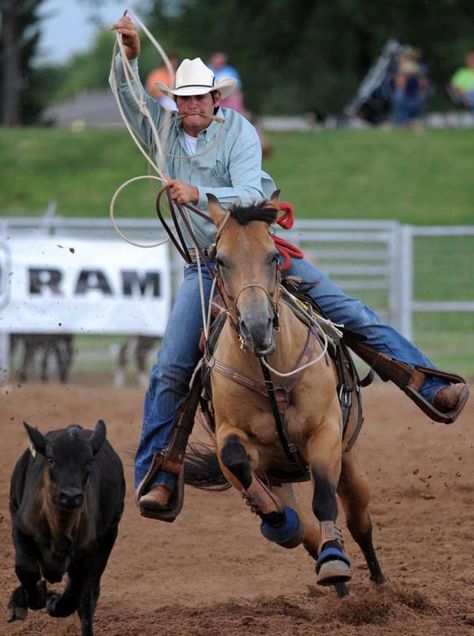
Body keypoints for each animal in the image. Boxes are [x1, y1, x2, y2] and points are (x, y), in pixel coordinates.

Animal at [183, 195, 386, 596]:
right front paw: (280, 523)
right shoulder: (229, 436)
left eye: (274, 256)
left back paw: (377, 583)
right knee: (307, 533)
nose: (257, 326)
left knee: (359, 521)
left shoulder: (324, 431)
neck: (269, 371)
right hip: (282, 477)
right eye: (221, 260)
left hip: (350, 462)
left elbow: (323, 499)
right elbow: (237, 461)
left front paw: (335, 562)